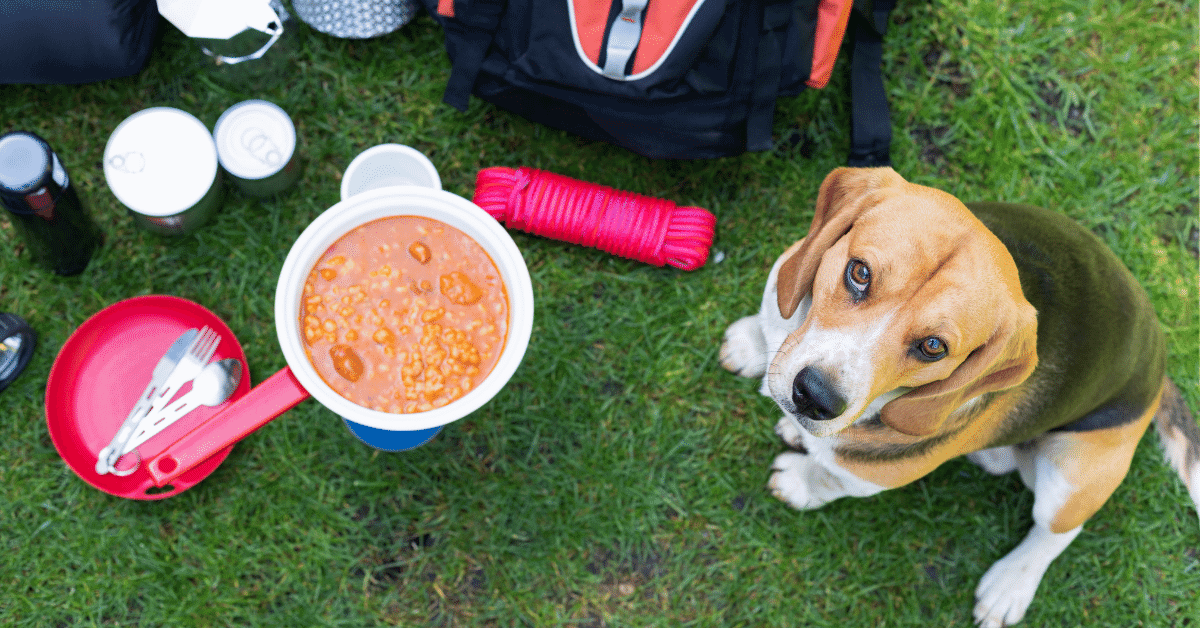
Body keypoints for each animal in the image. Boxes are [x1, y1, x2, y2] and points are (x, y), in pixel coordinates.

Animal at [720, 166, 1200, 628]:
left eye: (933, 347)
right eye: (859, 273)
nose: (815, 398)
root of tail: (1158, 361)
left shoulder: (865, 477)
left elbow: (828, 479)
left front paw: (799, 482)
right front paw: (752, 344)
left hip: (1074, 470)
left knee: (1058, 530)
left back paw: (1011, 584)